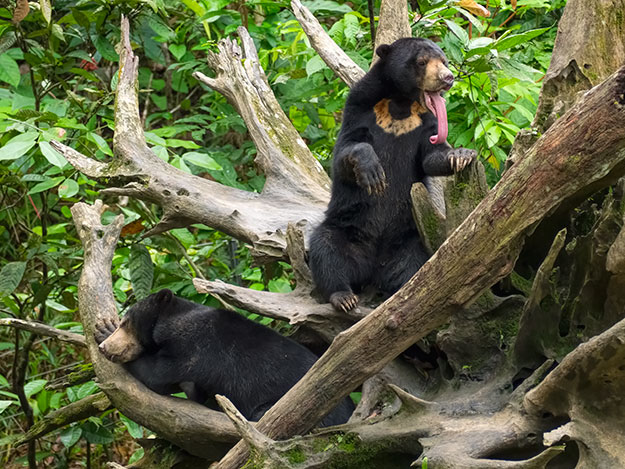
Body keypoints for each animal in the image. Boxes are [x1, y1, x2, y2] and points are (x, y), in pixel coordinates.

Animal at [95, 288, 354, 424]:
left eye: (127, 322)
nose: (106, 348)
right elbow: (196, 393)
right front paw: (103, 329)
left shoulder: (195, 348)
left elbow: (157, 375)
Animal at [310, 36, 476, 310]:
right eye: (421, 62)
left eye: (444, 60)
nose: (448, 78)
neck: (401, 102)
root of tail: (373, 269)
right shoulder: (359, 107)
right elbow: (346, 153)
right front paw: (374, 174)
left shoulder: (426, 121)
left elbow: (431, 156)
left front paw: (462, 155)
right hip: (346, 227)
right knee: (326, 248)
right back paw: (343, 296)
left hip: (411, 236)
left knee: (412, 263)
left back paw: (399, 292)